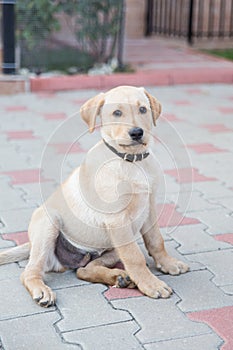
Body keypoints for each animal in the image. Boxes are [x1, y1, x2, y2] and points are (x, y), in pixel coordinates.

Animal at [0, 87, 188, 306]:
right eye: (117, 113)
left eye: (142, 109)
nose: (136, 133)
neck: (132, 161)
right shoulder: (117, 219)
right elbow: (134, 257)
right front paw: (151, 284)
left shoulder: (148, 207)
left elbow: (156, 240)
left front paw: (168, 263)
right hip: (49, 225)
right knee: (30, 272)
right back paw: (42, 290)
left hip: (113, 245)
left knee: (84, 270)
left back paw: (119, 277)